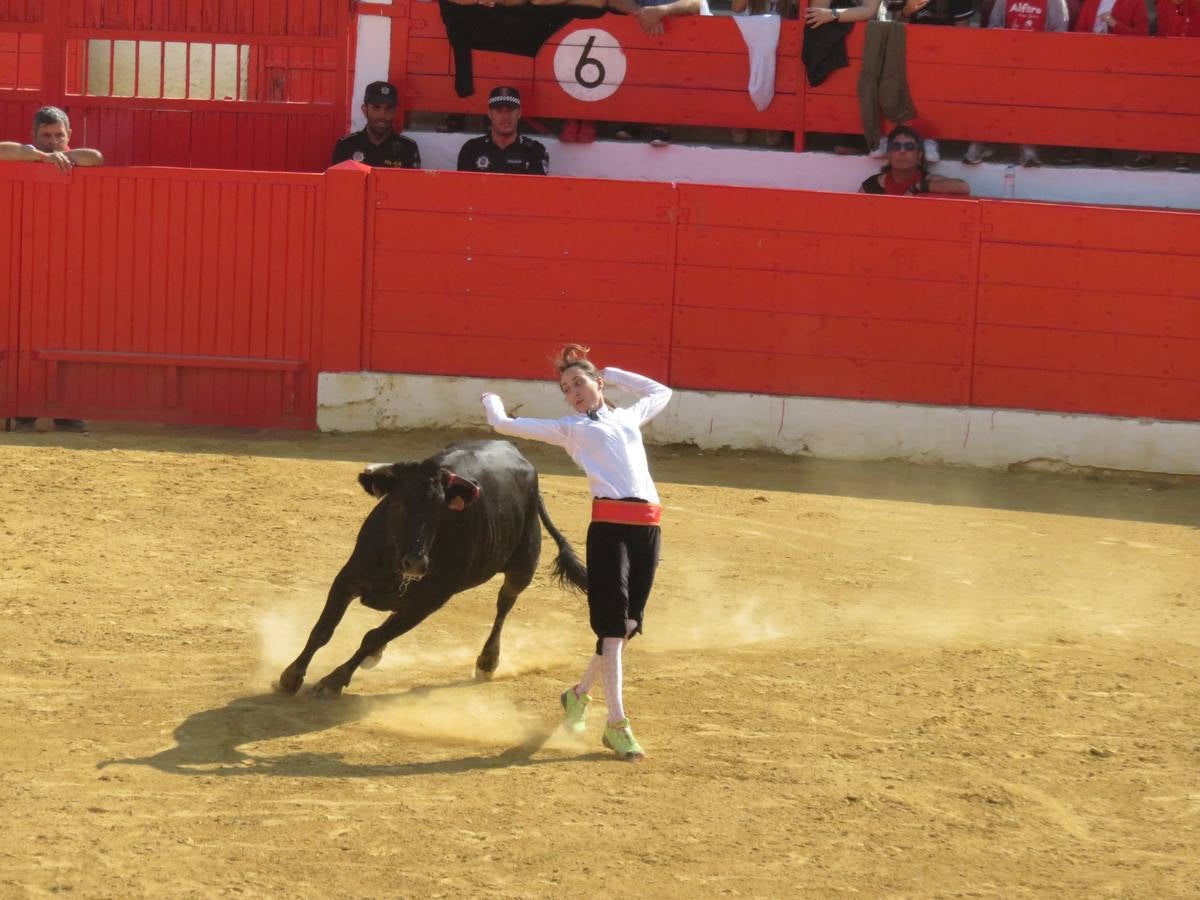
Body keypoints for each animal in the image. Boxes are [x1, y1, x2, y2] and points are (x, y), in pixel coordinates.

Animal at [276, 441, 585, 700]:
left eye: (439, 510)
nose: (415, 563)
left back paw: (487, 662)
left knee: (504, 605)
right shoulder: (347, 578)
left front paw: (334, 681)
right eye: (397, 504)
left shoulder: (427, 603)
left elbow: (372, 637)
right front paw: (292, 675)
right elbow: (323, 629)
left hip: (523, 567)